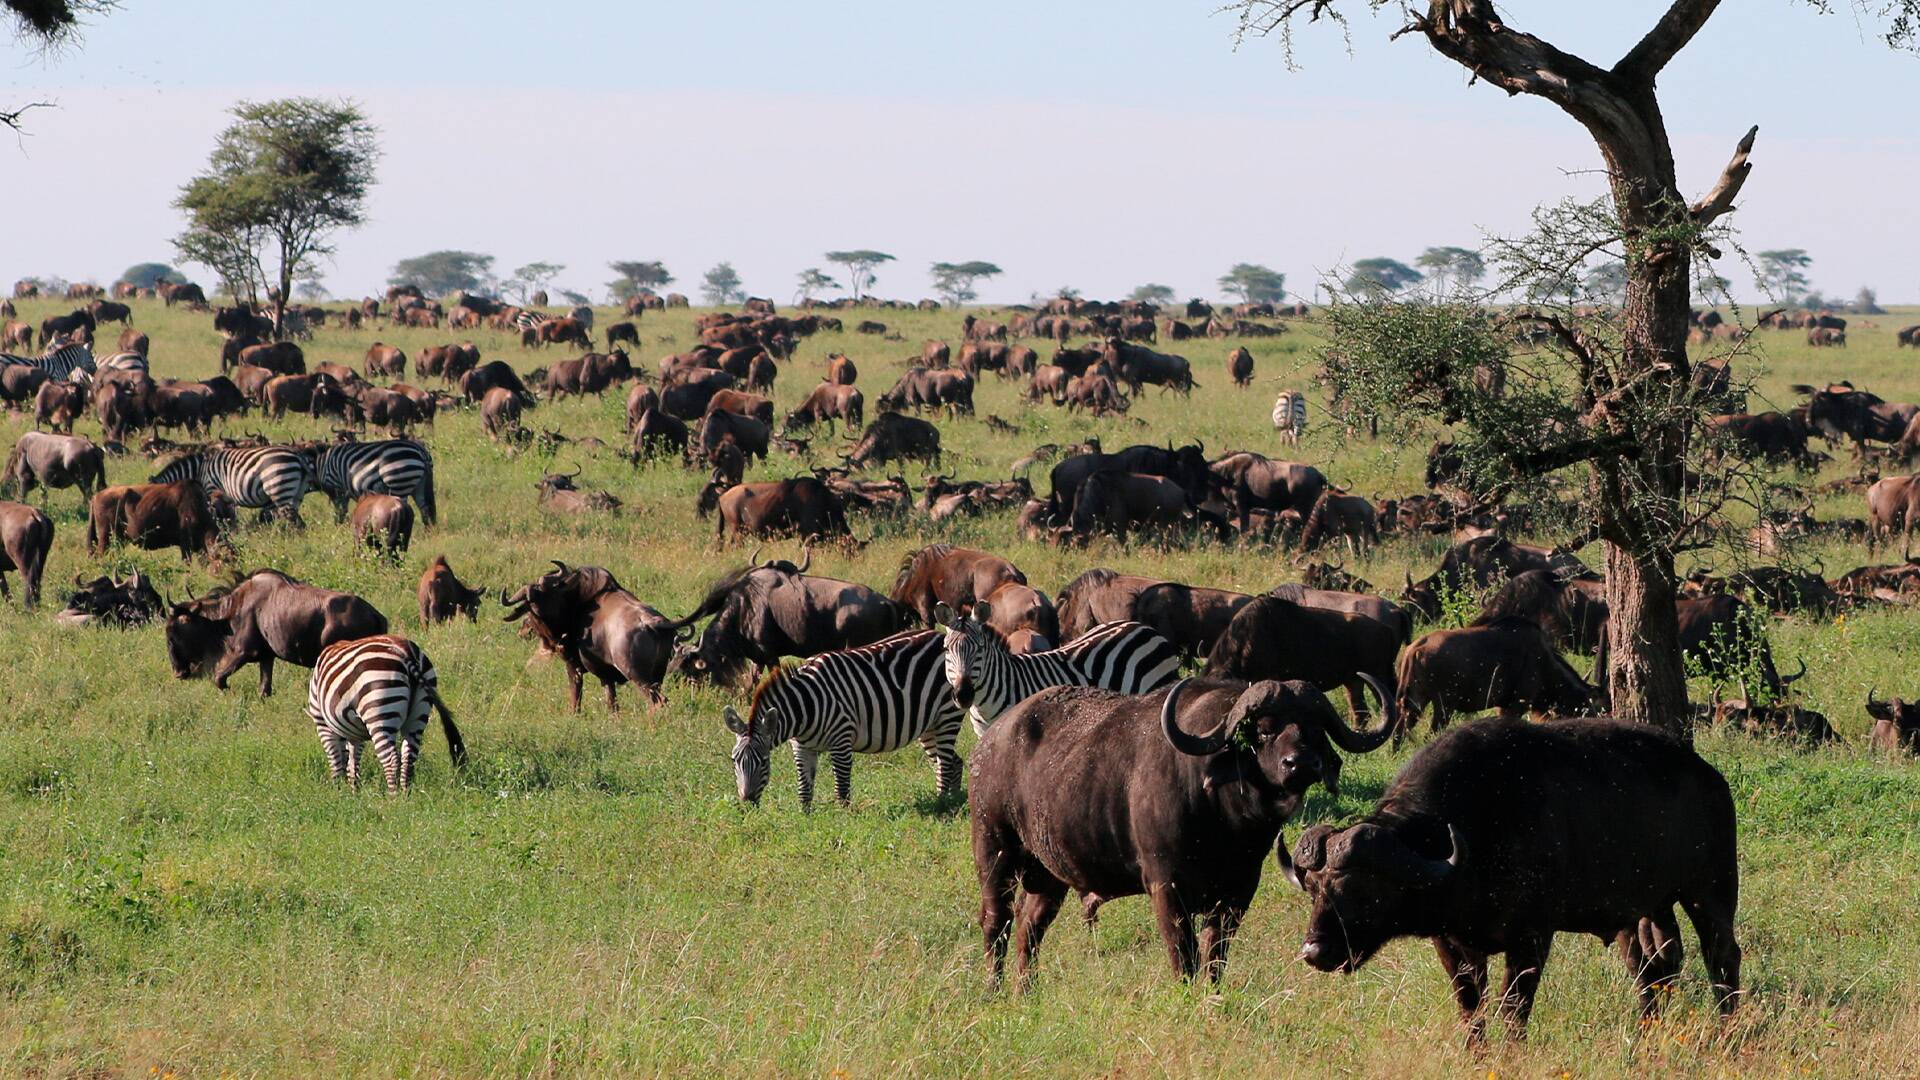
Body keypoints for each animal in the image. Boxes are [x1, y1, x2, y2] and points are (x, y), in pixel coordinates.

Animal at [149, 440, 311, 518]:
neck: (199, 471)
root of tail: (297, 455)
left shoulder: (213, 490)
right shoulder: (227, 498)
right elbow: (231, 517)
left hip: (280, 488)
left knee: (293, 519)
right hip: (296, 492)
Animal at [307, 434, 439, 522]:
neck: (320, 464)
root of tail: (421, 450)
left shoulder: (336, 488)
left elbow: (340, 511)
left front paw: (340, 527)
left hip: (398, 483)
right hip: (420, 485)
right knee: (426, 510)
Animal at [311, 630, 472, 791]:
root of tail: (405, 650)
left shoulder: (322, 723)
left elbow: (336, 759)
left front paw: (338, 790)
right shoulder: (356, 731)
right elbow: (353, 760)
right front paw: (354, 789)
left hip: (379, 711)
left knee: (391, 759)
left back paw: (393, 796)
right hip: (419, 712)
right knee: (409, 757)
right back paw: (406, 794)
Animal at [721, 622, 960, 807]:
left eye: (763, 762)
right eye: (734, 761)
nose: (746, 802)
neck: (804, 709)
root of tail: (940, 635)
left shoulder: (841, 741)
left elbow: (842, 789)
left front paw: (843, 822)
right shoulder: (802, 748)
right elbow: (804, 789)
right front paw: (805, 820)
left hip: (948, 715)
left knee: (946, 763)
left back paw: (941, 804)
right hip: (929, 724)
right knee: (952, 762)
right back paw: (952, 801)